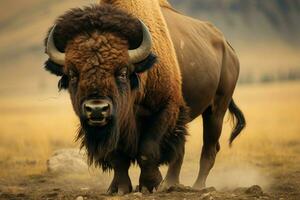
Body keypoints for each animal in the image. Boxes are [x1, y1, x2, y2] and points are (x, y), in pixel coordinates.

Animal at [45, 0, 246, 194]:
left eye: (123, 72)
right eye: (72, 74)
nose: (96, 109)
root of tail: (228, 48)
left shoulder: (165, 110)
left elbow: (147, 150)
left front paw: (150, 186)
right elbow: (118, 157)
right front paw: (118, 188)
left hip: (216, 109)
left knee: (209, 149)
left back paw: (196, 186)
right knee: (180, 152)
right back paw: (171, 184)